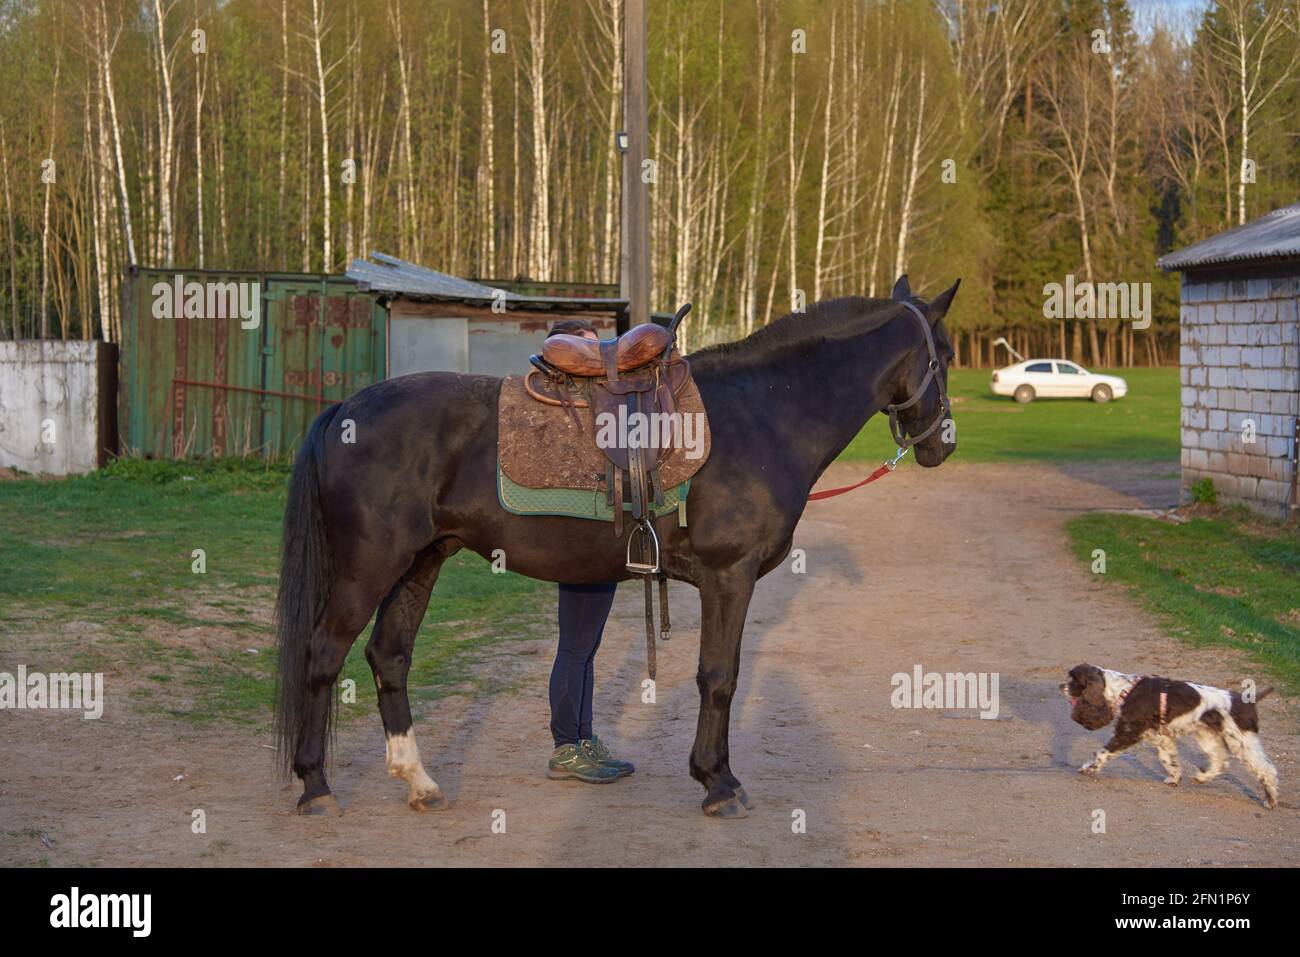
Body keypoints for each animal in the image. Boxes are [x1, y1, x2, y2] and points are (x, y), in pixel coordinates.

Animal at [274, 274, 959, 818]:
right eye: (946, 355)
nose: (942, 444)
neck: (763, 414)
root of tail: (344, 409)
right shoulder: (728, 577)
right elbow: (719, 676)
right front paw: (718, 782)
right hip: (370, 567)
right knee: (323, 655)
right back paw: (315, 787)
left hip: (422, 561)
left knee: (389, 656)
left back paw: (418, 781)